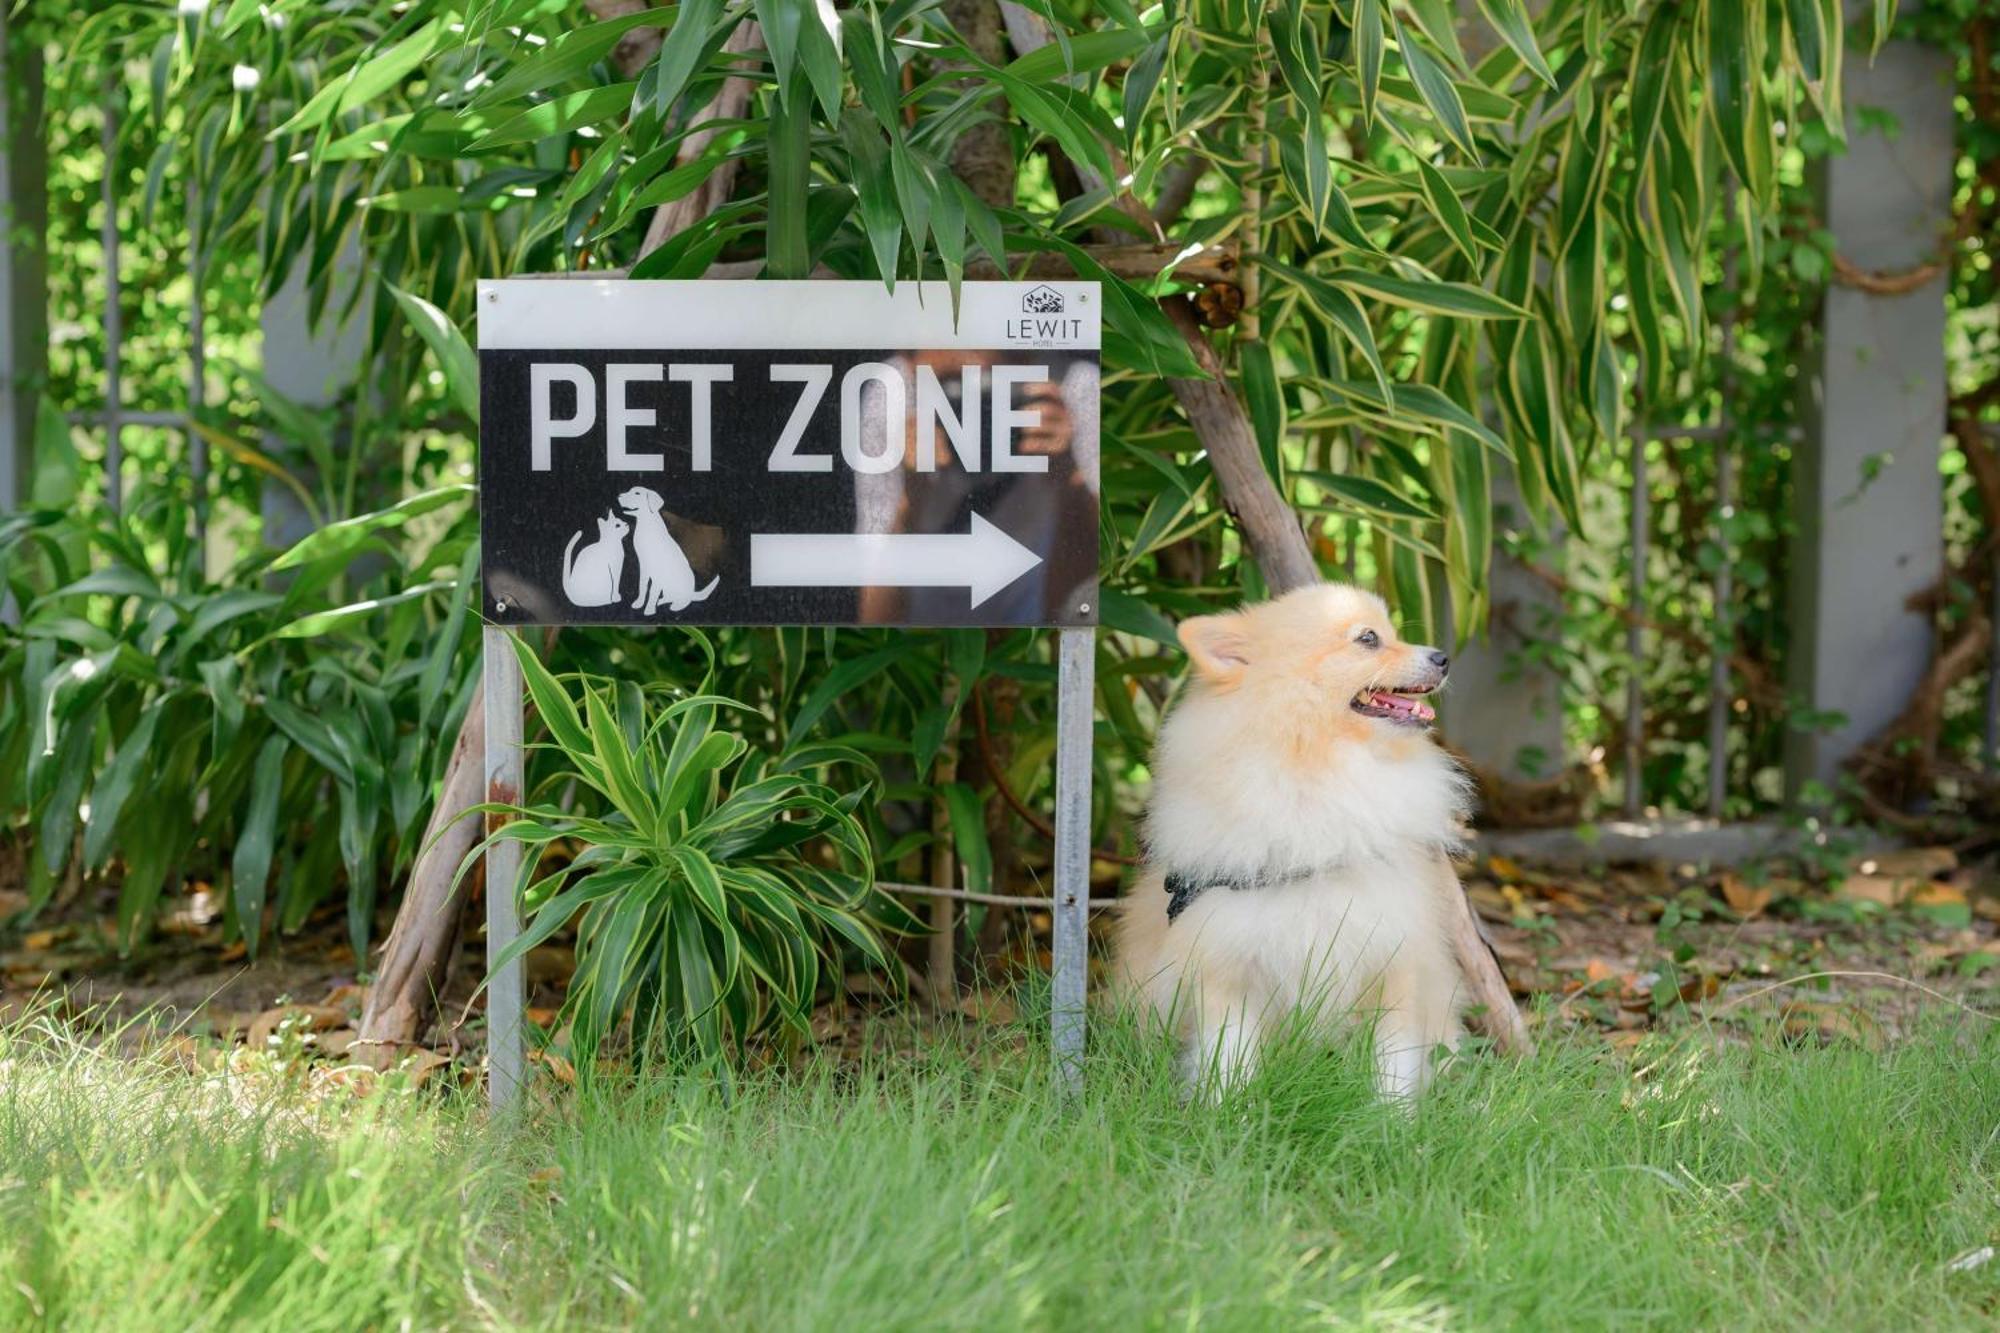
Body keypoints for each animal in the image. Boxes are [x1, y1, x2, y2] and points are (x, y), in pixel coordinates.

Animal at [1112, 580, 1472, 1096]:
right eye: (1368, 639)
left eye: (1392, 632)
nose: (1442, 657)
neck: (1317, 769)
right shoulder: (1227, 966)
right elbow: (1229, 1059)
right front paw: (1226, 1110)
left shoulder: (1392, 959)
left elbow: (1392, 1062)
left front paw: (1393, 1114)